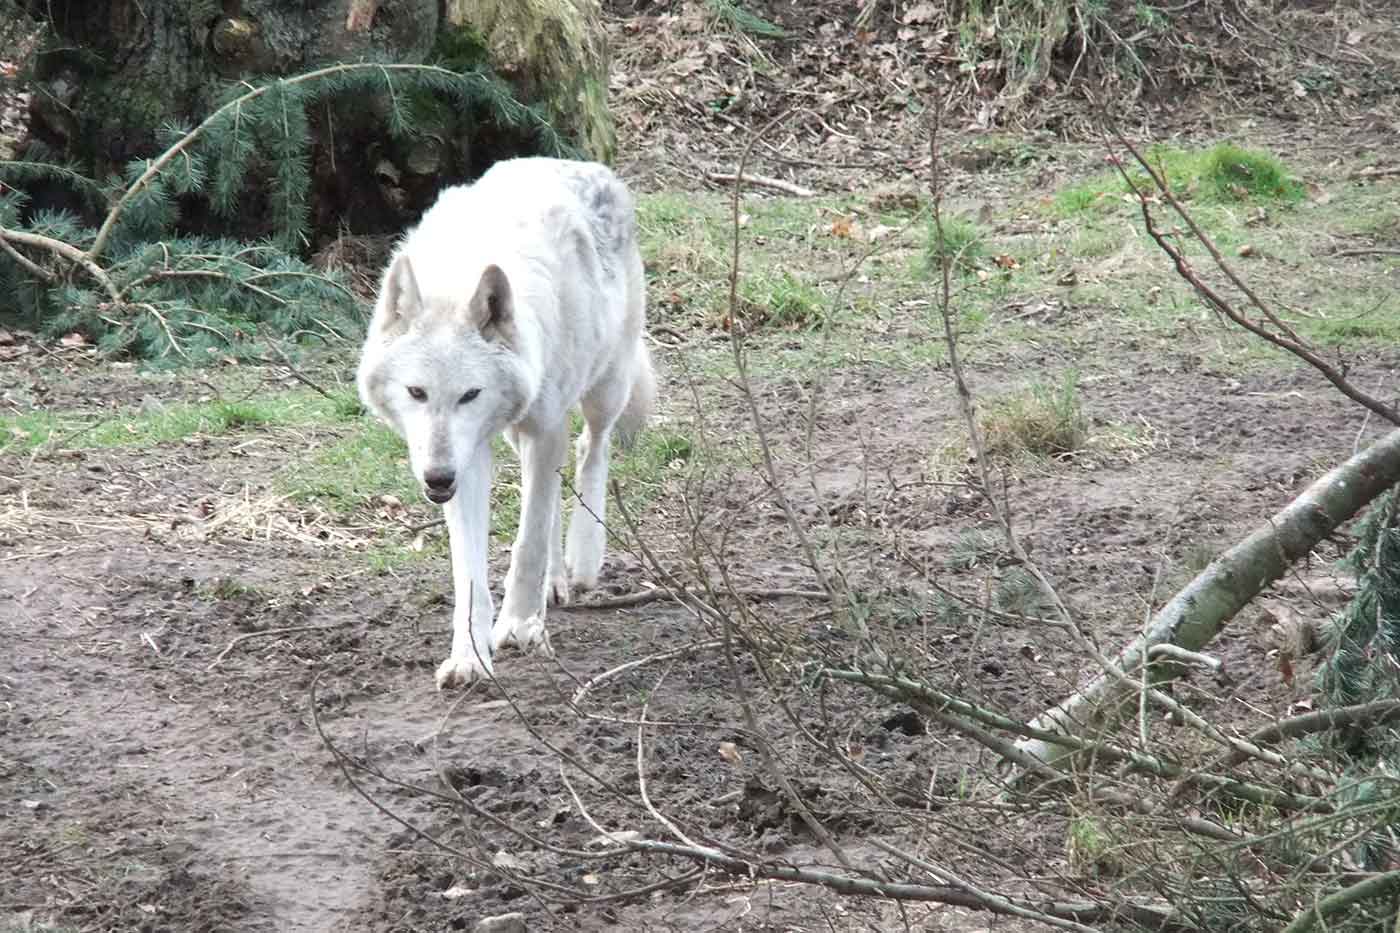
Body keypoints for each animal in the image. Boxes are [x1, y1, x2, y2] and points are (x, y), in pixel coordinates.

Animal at [355, 158, 649, 683]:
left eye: (470, 394)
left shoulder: (544, 428)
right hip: (515, 435)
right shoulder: (470, 458)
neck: (459, 274)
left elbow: (526, 542)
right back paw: (556, 582)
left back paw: (583, 558)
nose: (437, 478)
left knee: (592, 449)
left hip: (605, 388)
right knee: (556, 484)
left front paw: (520, 626)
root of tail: (585, 166)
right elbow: (471, 571)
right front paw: (470, 657)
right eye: (416, 392)